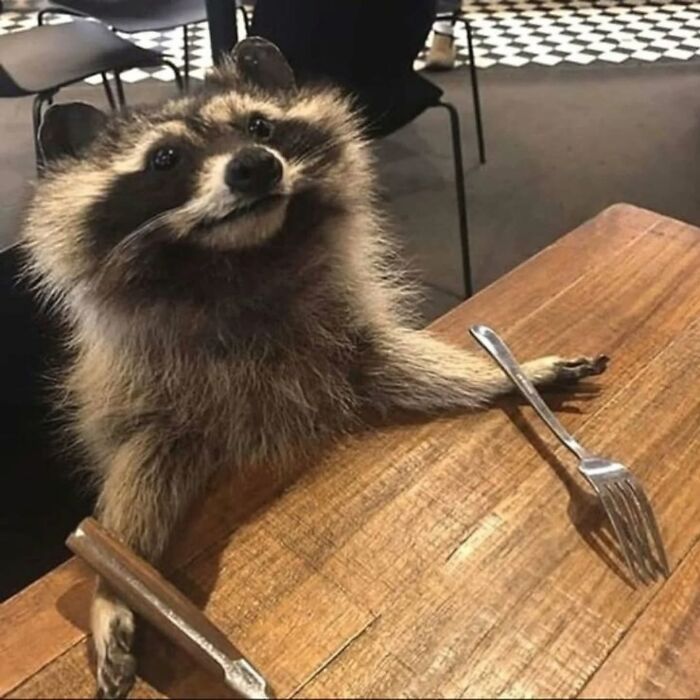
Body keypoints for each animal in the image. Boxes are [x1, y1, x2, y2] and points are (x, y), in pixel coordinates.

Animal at [23, 39, 608, 700]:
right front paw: (113, 584)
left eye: (260, 126)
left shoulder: (341, 337)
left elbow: (397, 363)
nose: (255, 165)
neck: (241, 261)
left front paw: (509, 374)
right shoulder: (151, 395)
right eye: (165, 158)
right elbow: (135, 477)